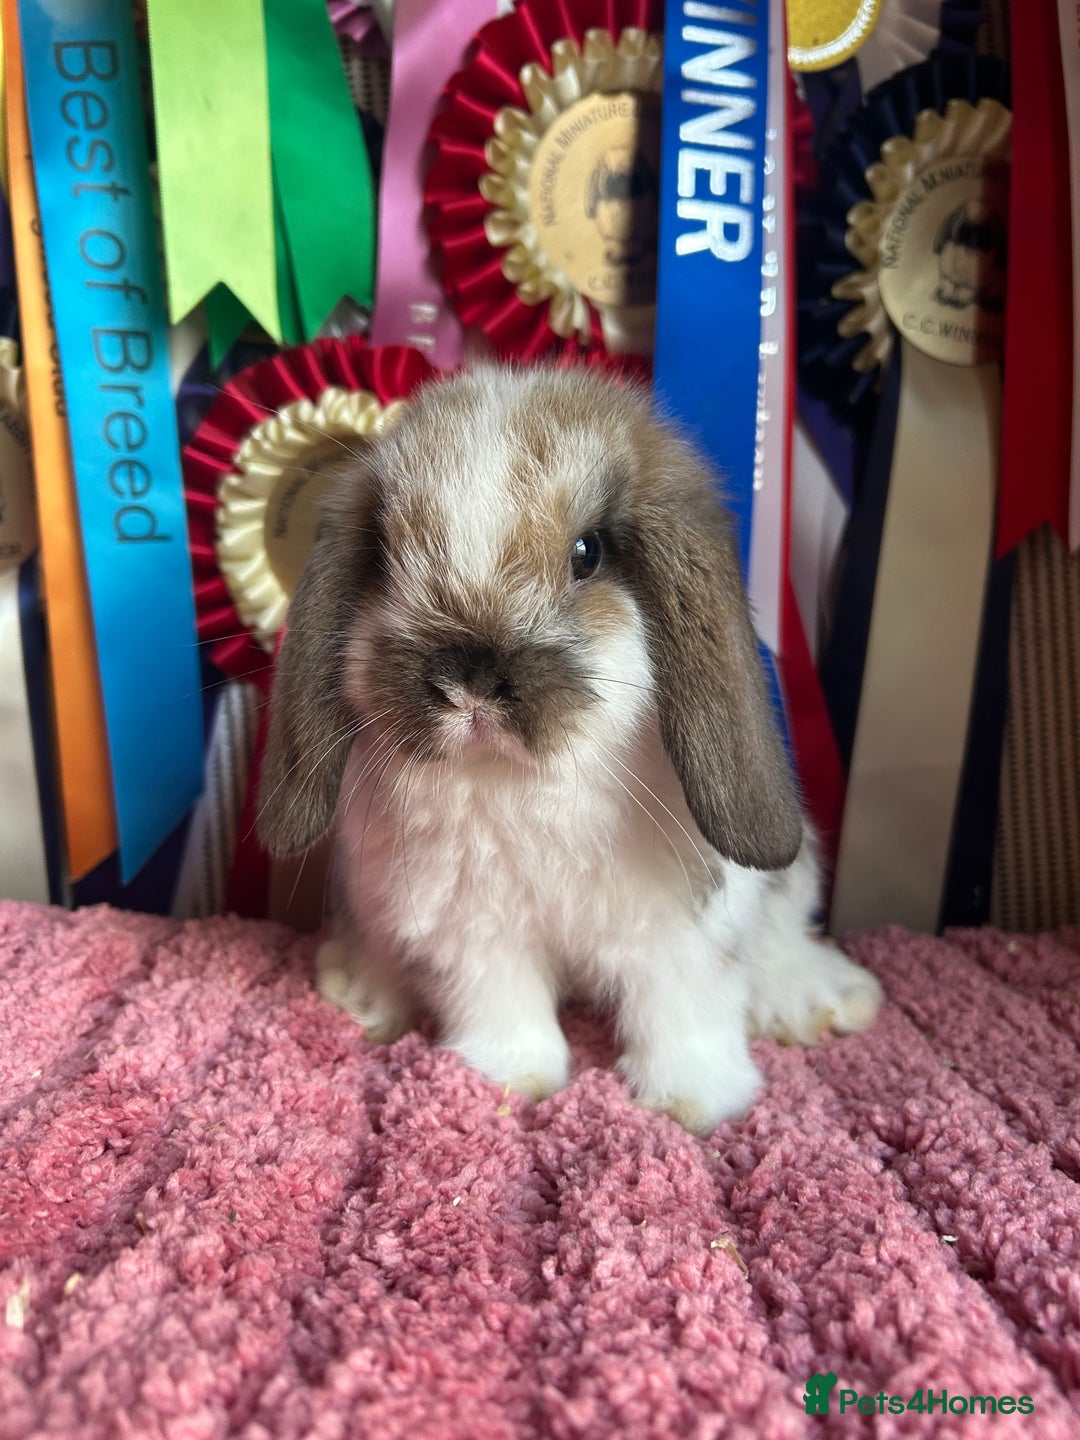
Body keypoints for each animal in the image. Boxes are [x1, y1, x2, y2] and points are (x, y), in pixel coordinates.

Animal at [257, 364, 882, 1133]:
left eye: (588, 553)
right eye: (382, 554)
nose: (468, 678)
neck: (521, 782)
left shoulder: (680, 934)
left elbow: (683, 1011)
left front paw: (692, 1103)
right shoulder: (474, 930)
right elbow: (504, 1004)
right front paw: (507, 1082)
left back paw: (821, 1001)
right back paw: (362, 990)